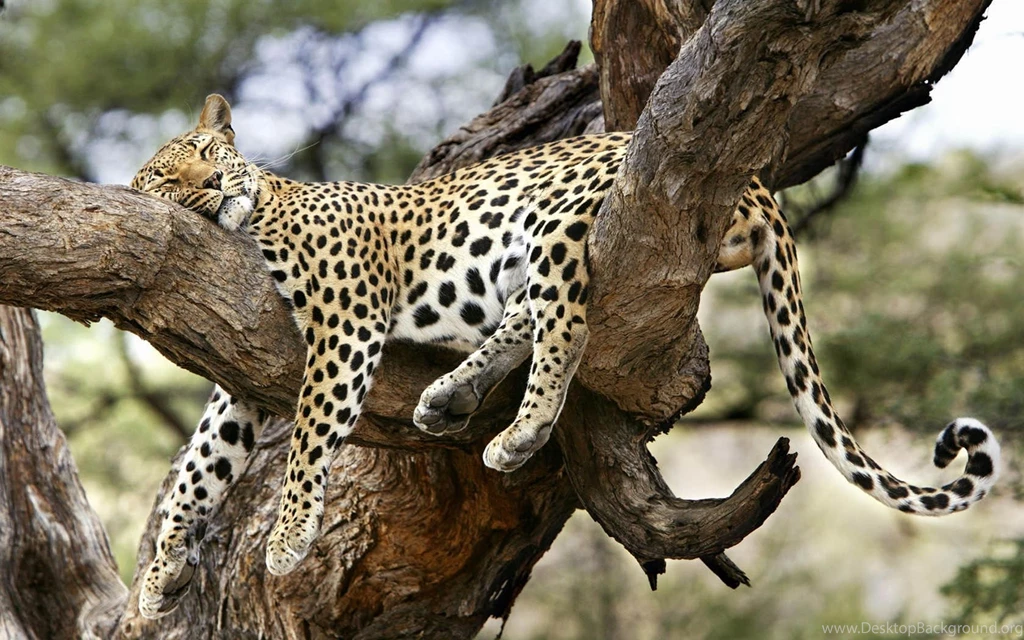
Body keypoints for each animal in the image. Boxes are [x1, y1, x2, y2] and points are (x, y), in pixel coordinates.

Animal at [130, 94, 1001, 618]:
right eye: (167, 181)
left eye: (208, 151)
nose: (212, 186)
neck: (258, 214)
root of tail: (755, 181)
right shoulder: (242, 375)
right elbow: (199, 468)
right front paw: (158, 575)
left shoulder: (345, 322)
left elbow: (310, 437)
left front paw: (285, 538)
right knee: (530, 316)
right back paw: (450, 397)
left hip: (555, 221)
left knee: (568, 325)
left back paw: (518, 432)